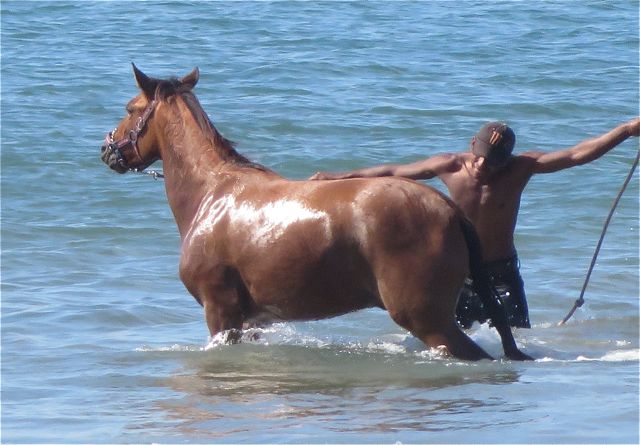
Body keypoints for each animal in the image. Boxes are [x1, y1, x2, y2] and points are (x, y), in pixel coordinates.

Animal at [100, 64, 531, 361]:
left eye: (130, 108)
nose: (107, 150)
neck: (213, 194)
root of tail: (448, 208)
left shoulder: (220, 312)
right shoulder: (249, 322)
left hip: (428, 319)